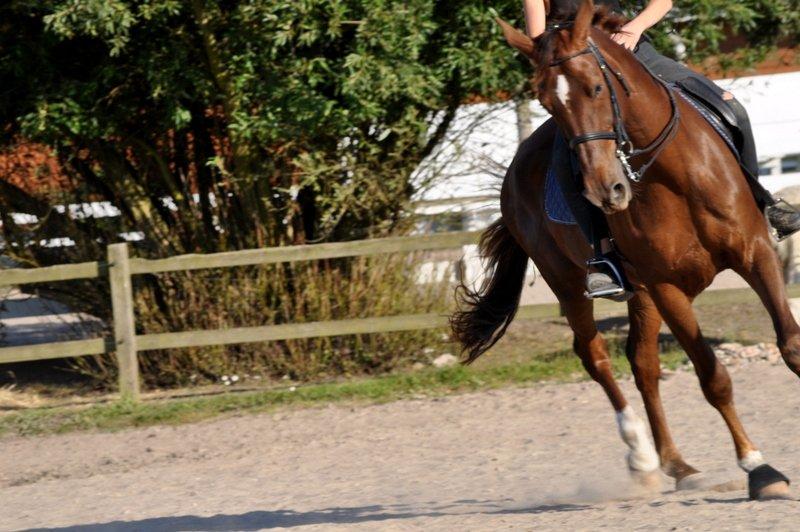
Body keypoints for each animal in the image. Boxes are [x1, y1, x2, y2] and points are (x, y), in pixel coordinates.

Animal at [454, 0, 796, 498]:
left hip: (643, 293)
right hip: (570, 283)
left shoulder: (755, 255)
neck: (668, 172)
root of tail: (513, 172)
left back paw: (679, 466)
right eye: (546, 102)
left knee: (643, 363)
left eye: (597, 87)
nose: (606, 191)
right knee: (595, 356)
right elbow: (713, 377)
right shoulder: (668, 286)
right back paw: (642, 456)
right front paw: (759, 468)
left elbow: (790, 343)